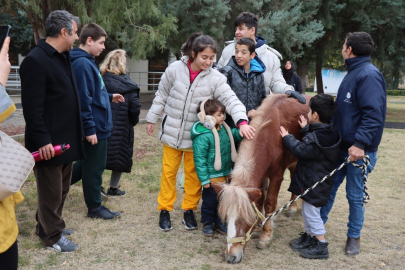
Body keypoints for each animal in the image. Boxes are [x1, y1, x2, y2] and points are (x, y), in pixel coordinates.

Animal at [213, 94, 308, 262]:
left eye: (244, 219)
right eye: (226, 218)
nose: (231, 257)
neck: (270, 134)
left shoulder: (276, 175)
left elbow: (269, 203)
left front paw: (266, 235)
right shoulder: (261, 176)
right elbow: (259, 200)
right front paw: (258, 226)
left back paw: (292, 207)